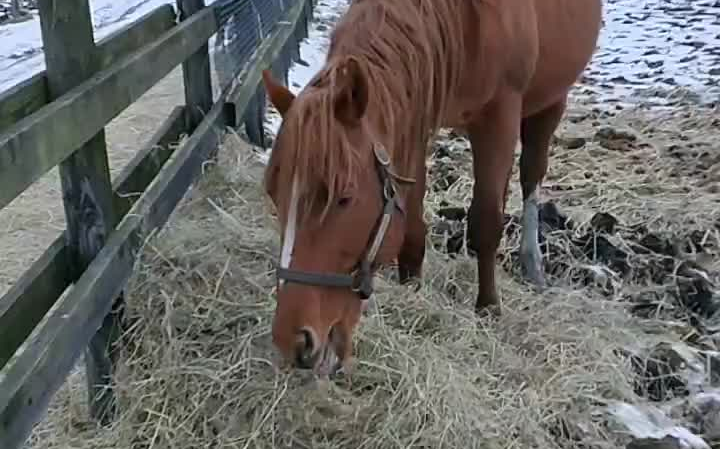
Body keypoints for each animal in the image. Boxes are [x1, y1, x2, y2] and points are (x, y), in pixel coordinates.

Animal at [258, 0, 600, 374]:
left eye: (343, 198)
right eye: (273, 193)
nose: (293, 339)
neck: (467, 19)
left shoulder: (499, 117)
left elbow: (485, 223)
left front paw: (488, 308)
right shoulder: (414, 113)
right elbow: (411, 227)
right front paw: (412, 288)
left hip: (551, 100)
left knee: (530, 178)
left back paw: (532, 264)